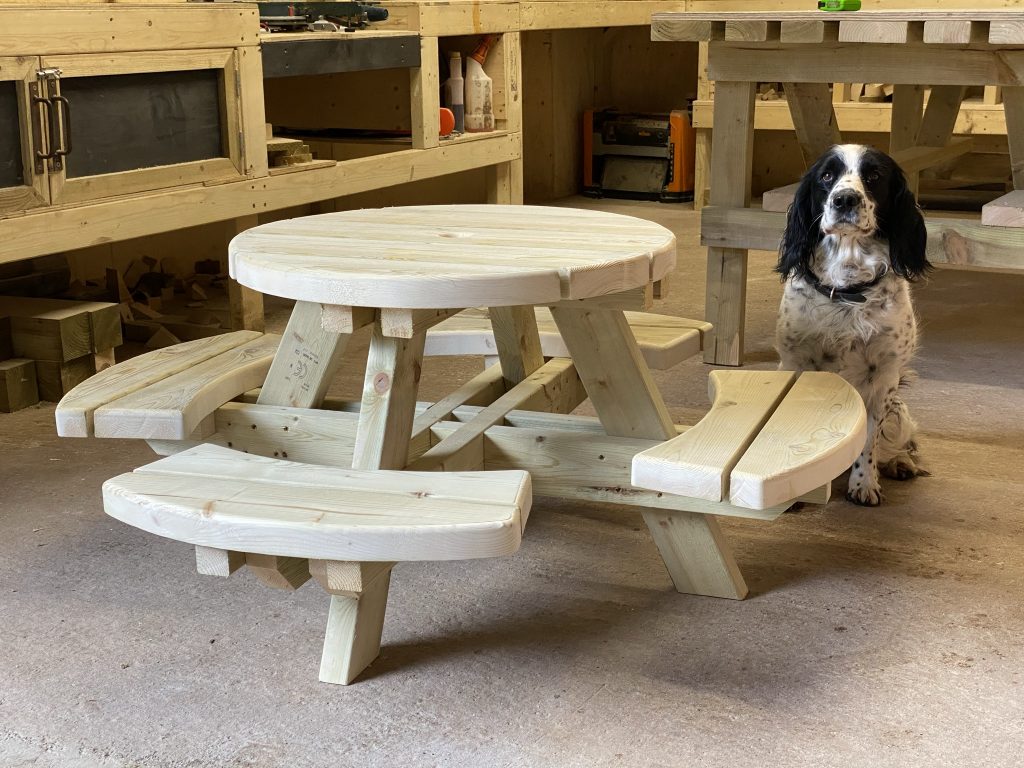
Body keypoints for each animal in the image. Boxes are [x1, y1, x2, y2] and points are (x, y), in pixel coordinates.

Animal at [774, 144, 929, 507]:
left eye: (873, 176)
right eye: (827, 175)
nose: (845, 199)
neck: (847, 288)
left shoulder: (883, 378)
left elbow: (869, 439)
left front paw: (864, 483)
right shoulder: (796, 364)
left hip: (899, 412)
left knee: (897, 441)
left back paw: (899, 462)